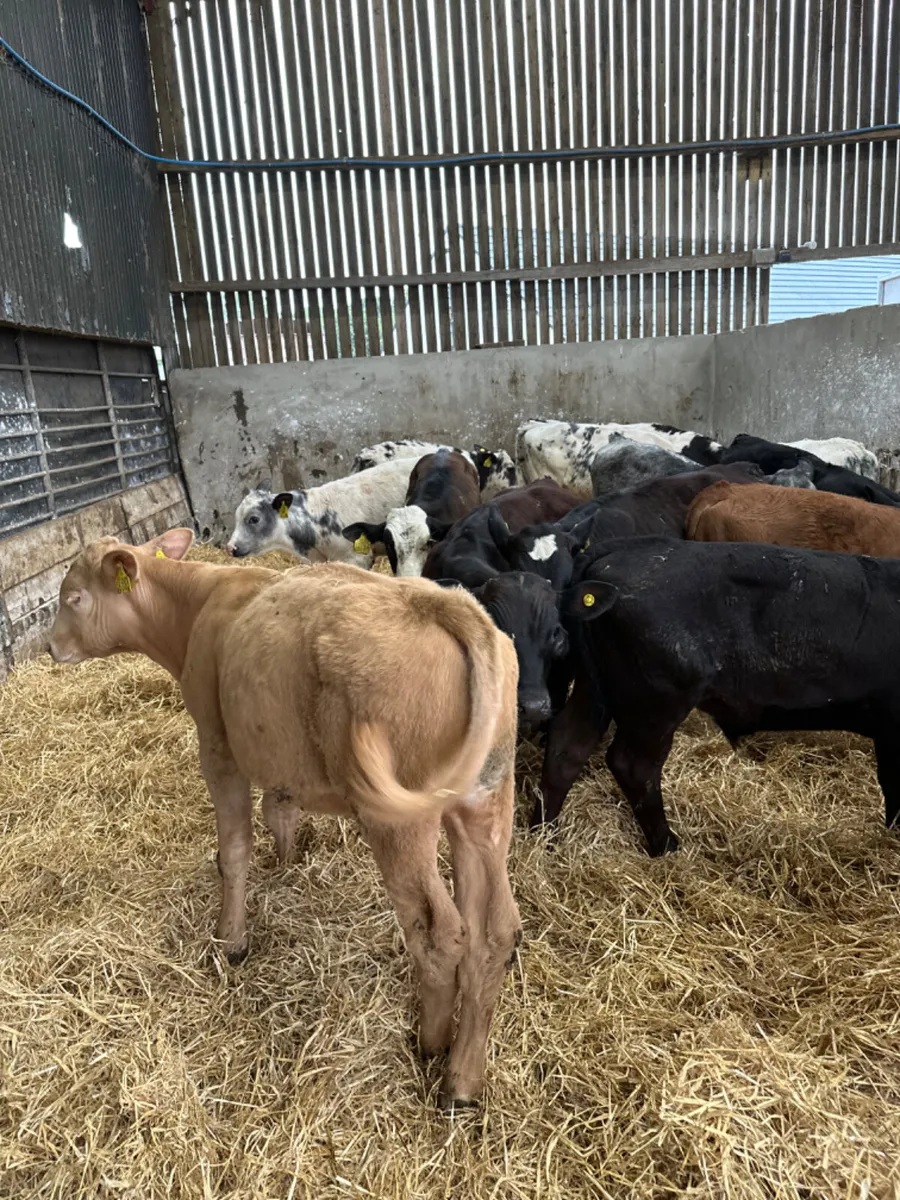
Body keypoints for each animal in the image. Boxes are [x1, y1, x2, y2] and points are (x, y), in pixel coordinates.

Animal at [47, 529, 521, 1109]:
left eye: (74, 598)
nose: (50, 646)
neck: (200, 604)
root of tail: (444, 604)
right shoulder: (280, 755)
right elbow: (280, 807)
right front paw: (288, 859)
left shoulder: (217, 745)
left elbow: (233, 850)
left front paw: (231, 940)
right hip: (484, 801)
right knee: (494, 932)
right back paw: (463, 1078)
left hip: (398, 820)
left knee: (440, 932)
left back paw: (430, 1043)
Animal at [534, 535, 900, 849]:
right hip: (658, 702)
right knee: (634, 766)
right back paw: (667, 846)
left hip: (595, 686)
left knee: (567, 746)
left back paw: (543, 835)